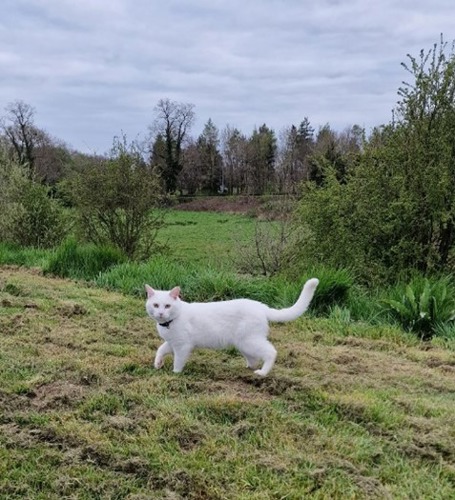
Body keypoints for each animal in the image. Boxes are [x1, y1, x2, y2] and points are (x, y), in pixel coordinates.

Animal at [144, 280, 318, 376]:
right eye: (156, 305)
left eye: (167, 306)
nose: (160, 313)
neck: (169, 323)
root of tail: (261, 306)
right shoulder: (171, 343)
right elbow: (160, 349)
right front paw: (158, 363)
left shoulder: (182, 346)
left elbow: (178, 362)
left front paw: (175, 374)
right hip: (243, 344)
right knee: (254, 359)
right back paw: (248, 368)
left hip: (250, 341)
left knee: (271, 352)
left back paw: (262, 373)